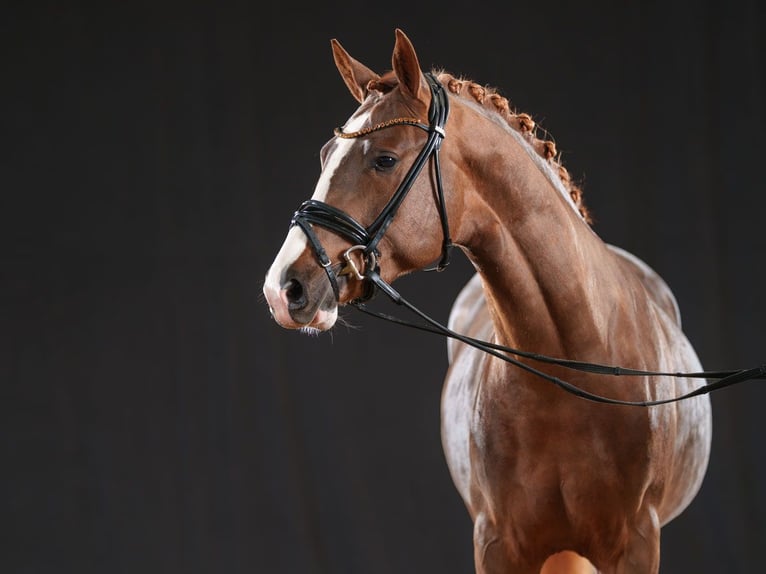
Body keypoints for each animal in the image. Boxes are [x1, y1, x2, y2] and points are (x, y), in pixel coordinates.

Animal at [264, 29, 712, 572]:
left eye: (384, 159)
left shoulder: (635, 545)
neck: (573, 366)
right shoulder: (497, 544)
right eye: (325, 154)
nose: (283, 287)